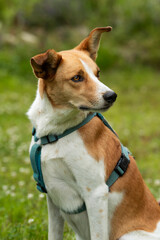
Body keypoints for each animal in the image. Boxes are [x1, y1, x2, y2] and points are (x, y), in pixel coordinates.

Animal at [27, 26, 160, 240]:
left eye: (98, 73)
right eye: (77, 77)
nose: (112, 96)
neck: (56, 133)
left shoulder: (95, 194)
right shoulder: (53, 197)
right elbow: (54, 234)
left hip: (127, 235)